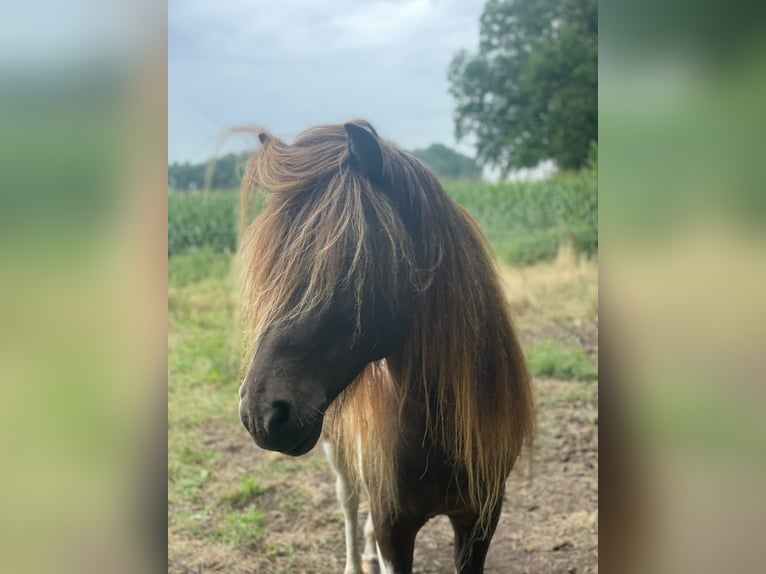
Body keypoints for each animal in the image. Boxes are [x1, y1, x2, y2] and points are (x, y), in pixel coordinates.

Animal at [238, 120, 534, 574]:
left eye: (351, 266)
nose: (260, 413)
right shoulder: (393, 525)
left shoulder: (481, 519)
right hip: (337, 451)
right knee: (348, 502)